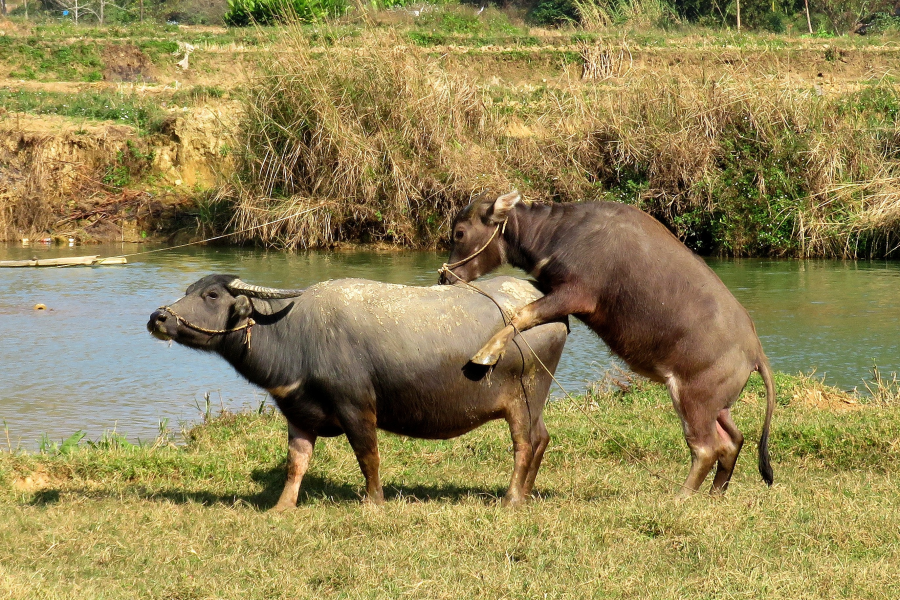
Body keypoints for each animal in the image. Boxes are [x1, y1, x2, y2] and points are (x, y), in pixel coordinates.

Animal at [149, 276, 568, 506]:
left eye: (212, 296)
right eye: (190, 289)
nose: (159, 317)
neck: (294, 333)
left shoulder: (356, 407)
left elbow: (369, 457)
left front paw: (374, 501)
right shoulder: (297, 411)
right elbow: (296, 463)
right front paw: (283, 506)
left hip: (525, 396)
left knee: (525, 443)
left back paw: (511, 498)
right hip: (535, 400)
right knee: (543, 438)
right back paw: (525, 494)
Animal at [440, 192, 776, 496]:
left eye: (459, 233)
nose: (445, 277)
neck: (556, 234)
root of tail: (755, 350)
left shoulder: (576, 294)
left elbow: (521, 314)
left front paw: (485, 354)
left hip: (693, 397)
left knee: (707, 448)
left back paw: (681, 496)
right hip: (718, 405)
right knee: (733, 440)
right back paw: (715, 492)